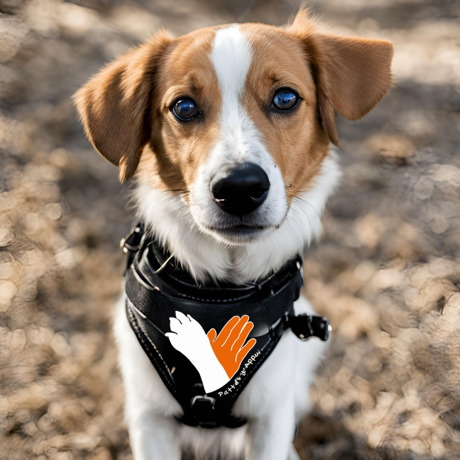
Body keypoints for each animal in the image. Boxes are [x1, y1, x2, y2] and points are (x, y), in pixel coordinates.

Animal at [74, 8, 392, 460]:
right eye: (184, 107)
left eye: (285, 98)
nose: (239, 187)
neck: (219, 294)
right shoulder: (149, 418)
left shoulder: (271, 418)